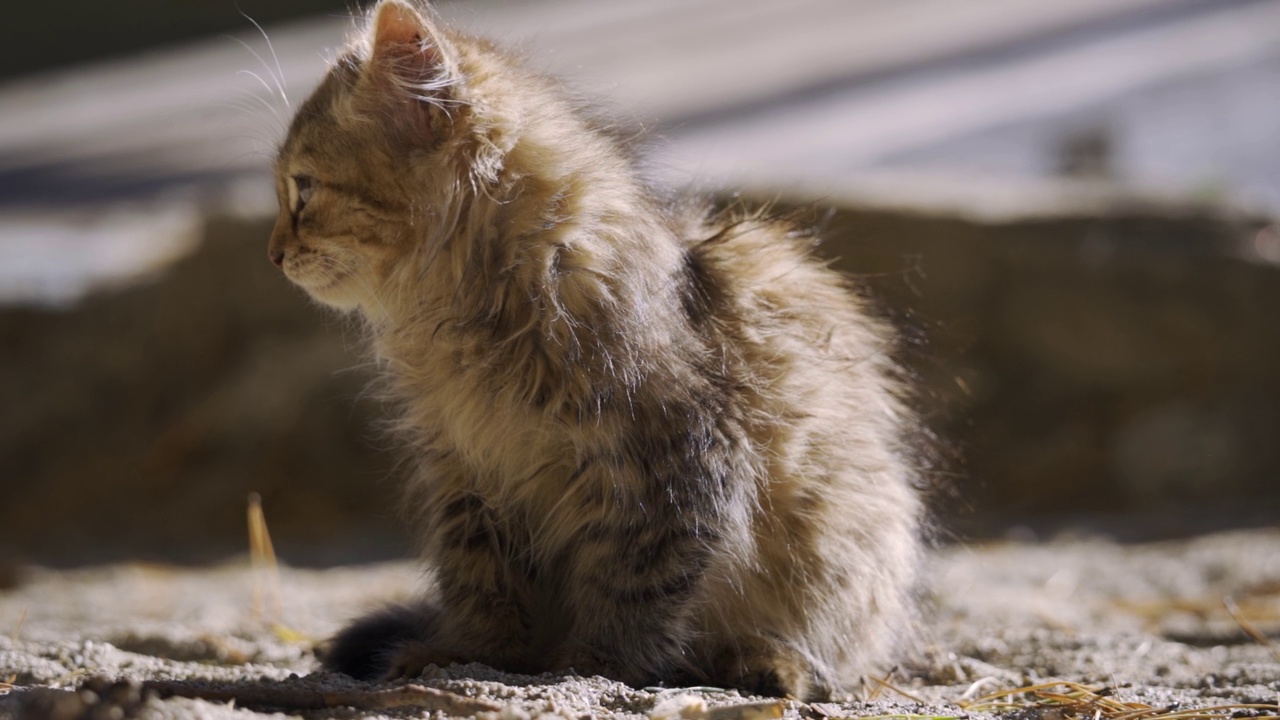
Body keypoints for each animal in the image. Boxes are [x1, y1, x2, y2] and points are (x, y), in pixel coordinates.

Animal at [270, 0, 926, 696]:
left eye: (304, 189)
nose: (273, 254)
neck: (474, 318)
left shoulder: (674, 459)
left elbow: (634, 581)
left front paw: (597, 663)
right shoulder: (467, 470)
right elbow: (482, 579)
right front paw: (470, 653)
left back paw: (764, 663)